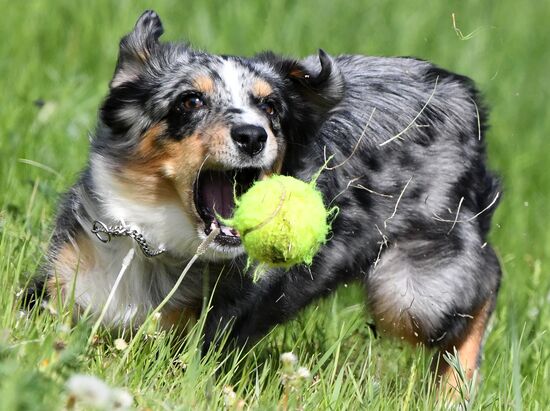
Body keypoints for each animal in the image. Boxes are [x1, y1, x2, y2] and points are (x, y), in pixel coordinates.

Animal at [36, 10, 502, 392]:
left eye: (271, 106)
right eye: (190, 100)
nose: (252, 135)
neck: (153, 244)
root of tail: (461, 91)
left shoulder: (204, 331)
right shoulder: (62, 280)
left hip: (412, 291)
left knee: (484, 283)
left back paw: (456, 388)